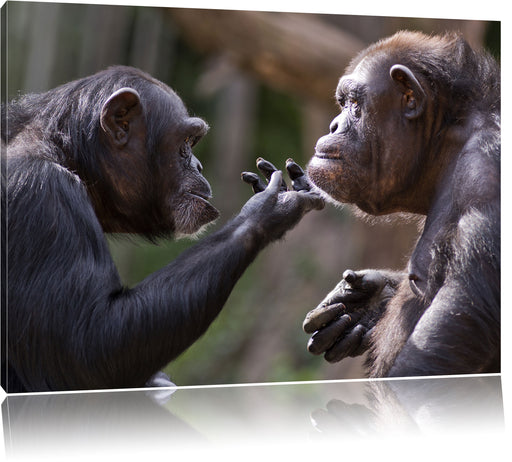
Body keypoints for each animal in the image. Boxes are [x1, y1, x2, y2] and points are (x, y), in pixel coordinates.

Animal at [2, 65, 324, 392]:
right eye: (186, 142)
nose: (198, 166)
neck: (68, 156)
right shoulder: (41, 194)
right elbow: (86, 349)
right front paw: (267, 207)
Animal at [302, 31, 498, 378]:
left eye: (355, 104)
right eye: (343, 103)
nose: (333, 126)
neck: (445, 144)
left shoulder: (485, 176)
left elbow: (463, 325)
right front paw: (368, 302)